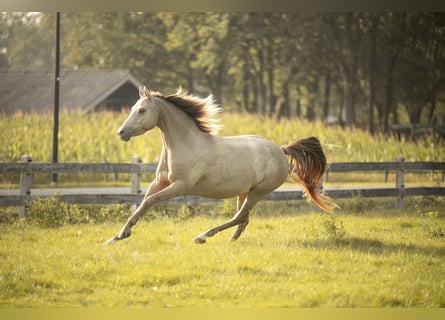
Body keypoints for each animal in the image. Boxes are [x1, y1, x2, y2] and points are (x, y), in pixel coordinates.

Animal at [105, 86, 336, 244]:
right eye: (133, 108)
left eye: (142, 110)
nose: (120, 132)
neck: (184, 143)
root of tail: (281, 150)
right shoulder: (159, 182)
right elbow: (141, 204)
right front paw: (117, 236)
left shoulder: (181, 186)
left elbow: (149, 201)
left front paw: (122, 235)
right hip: (245, 191)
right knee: (243, 219)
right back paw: (231, 241)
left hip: (259, 191)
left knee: (239, 216)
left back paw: (202, 236)